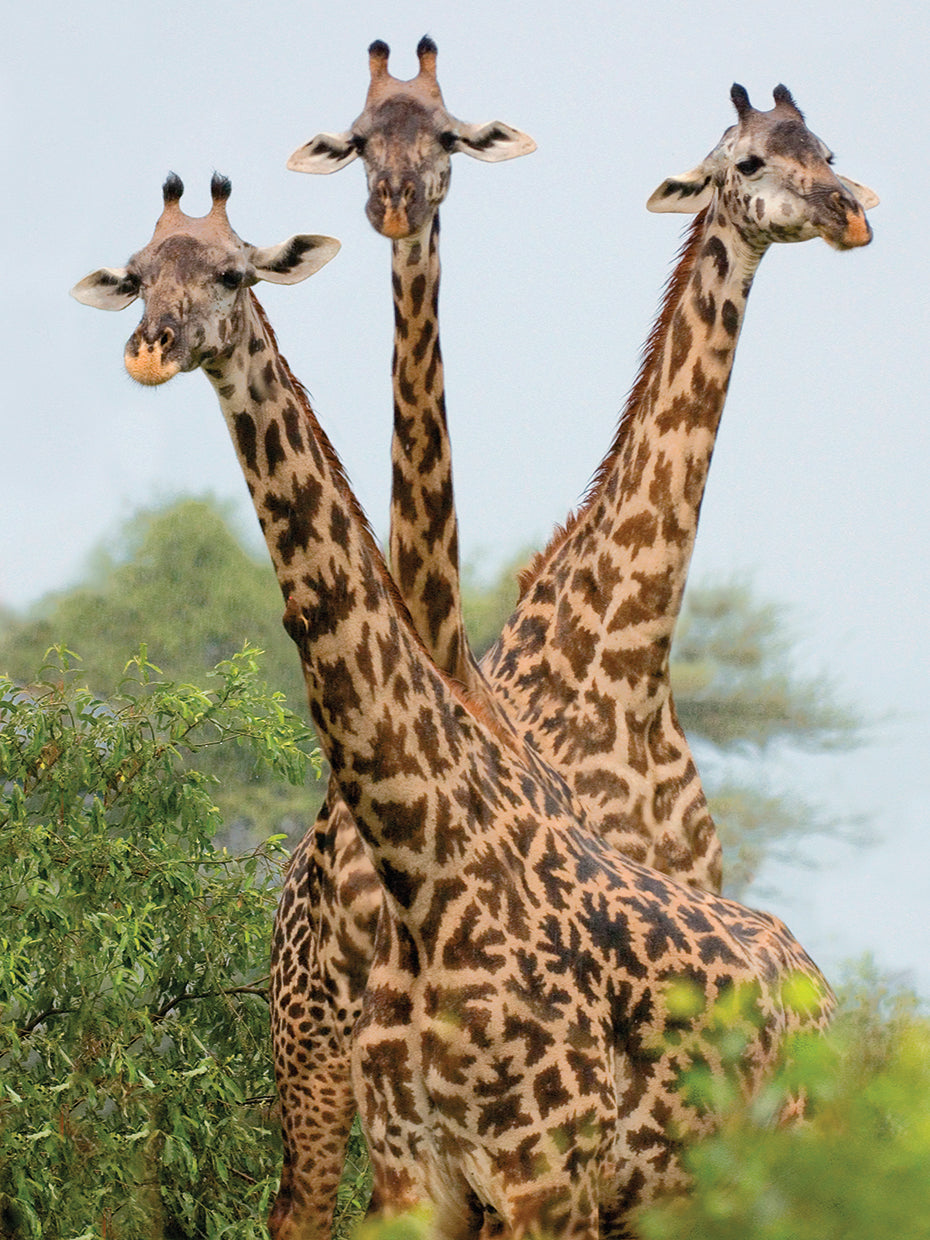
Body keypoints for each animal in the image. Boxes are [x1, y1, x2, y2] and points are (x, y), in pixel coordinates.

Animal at [74, 165, 843, 1239]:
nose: (152, 347)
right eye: (139, 273)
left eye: (233, 272)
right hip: (317, 1075)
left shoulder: (545, 1178)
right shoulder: (432, 1171)